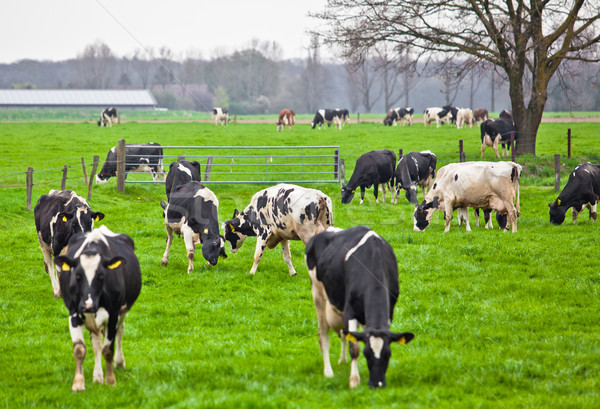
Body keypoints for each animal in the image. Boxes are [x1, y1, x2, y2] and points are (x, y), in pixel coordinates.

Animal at [53, 225, 142, 390]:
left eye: (101, 275)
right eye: (78, 275)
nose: (88, 305)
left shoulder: (113, 315)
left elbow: (108, 350)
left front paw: (110, 380)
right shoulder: (74, 313)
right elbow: (80, 349)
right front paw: (78, 383)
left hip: (121, 312)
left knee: (119, 332)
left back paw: (119, 363)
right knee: (96, 343)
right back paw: (97, 376)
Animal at [308, 225, 414, 388]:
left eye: (388, 354)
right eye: (366, 353)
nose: (377, 384)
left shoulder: (389, 313)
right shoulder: (350, 312)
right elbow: (354, 347)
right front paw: (354, 381)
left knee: (343, 334)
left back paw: (342, 360)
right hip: (318, 294)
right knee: (323, 335)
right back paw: (328, 372)